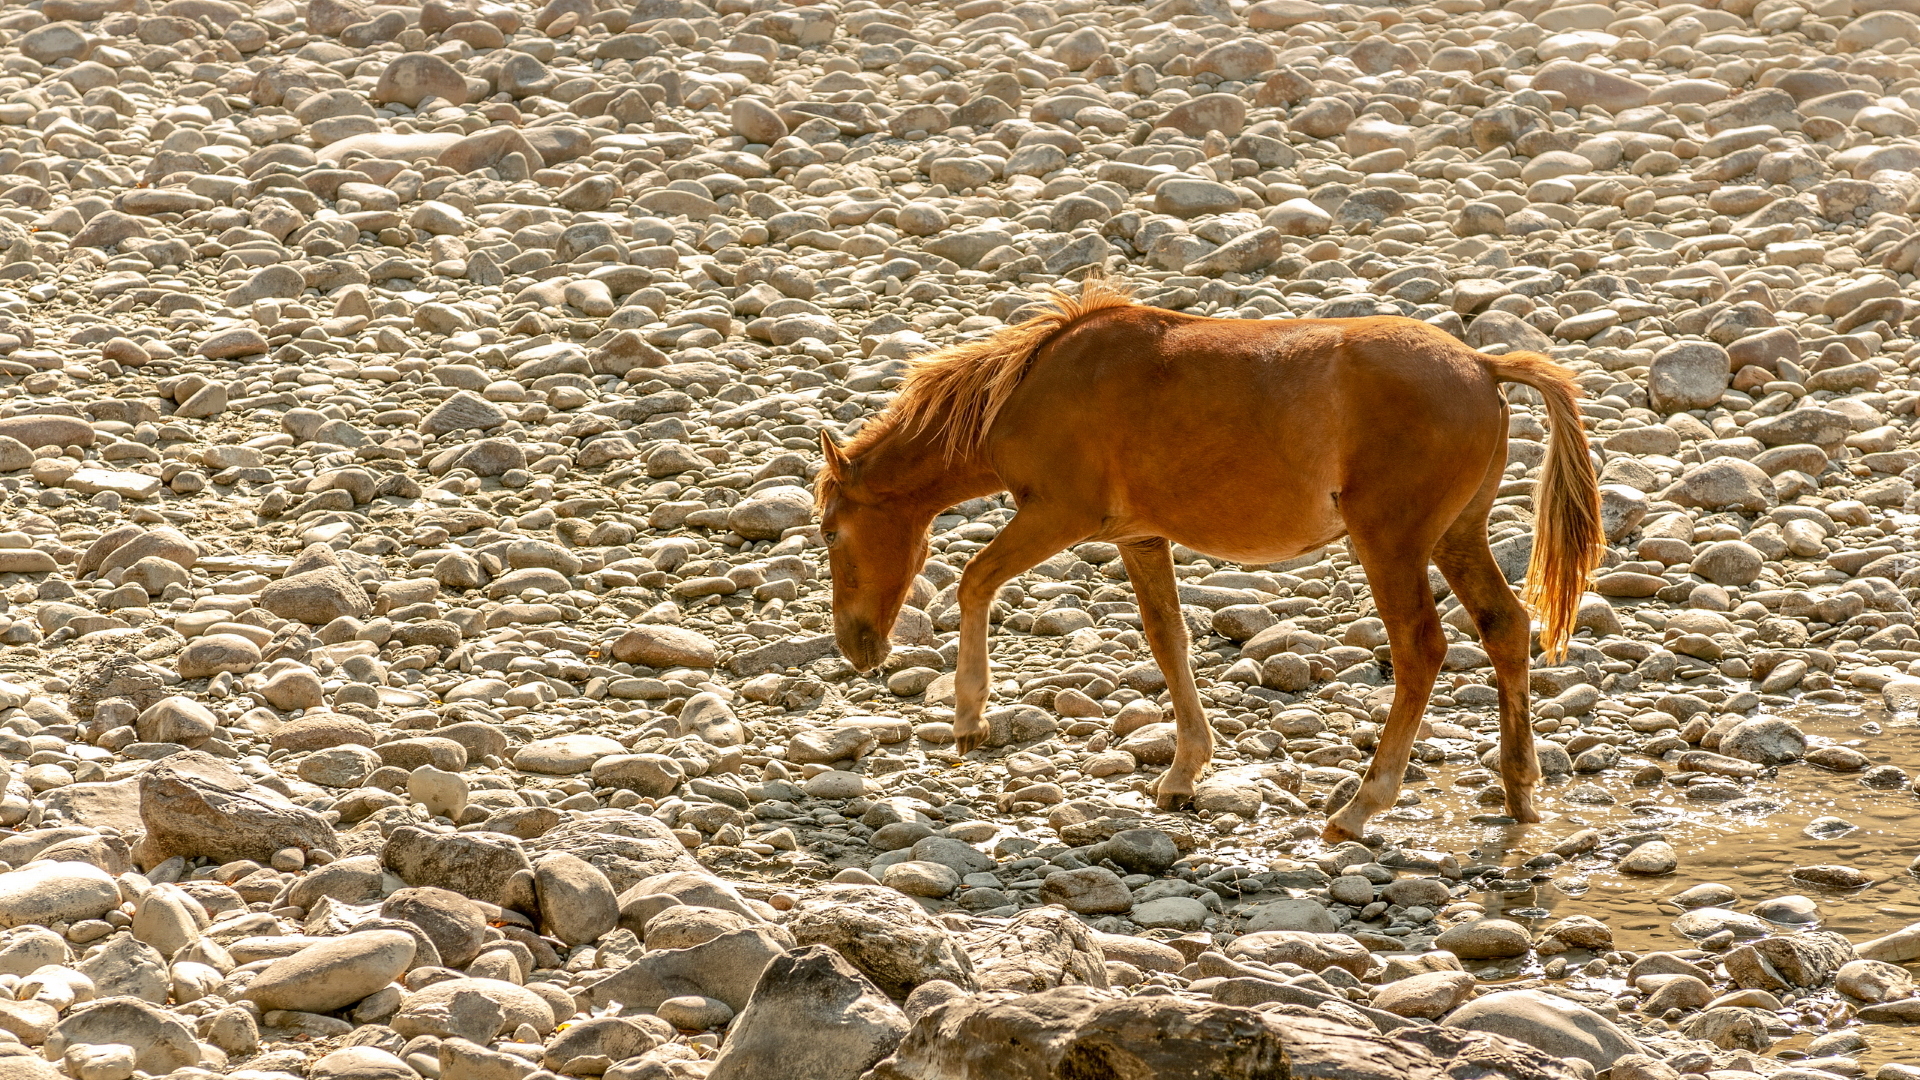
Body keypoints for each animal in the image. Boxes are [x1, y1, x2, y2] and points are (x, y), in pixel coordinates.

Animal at [814, 274, 1605, 834]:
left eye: (828, 530)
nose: (855, 645)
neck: (1036, 384)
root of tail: (1482, 364)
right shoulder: (1139, 536)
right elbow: (1168, 640)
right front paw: (1183, 774)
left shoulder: (1057, 514)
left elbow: (974, 582)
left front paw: (969, 717)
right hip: (1455, 536)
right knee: (1505, 627)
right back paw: (1518, 788)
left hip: (1393, 544)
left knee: (1421, 651)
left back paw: (1360, 806)